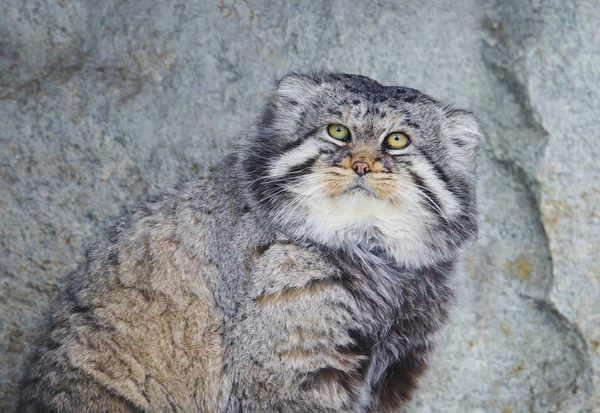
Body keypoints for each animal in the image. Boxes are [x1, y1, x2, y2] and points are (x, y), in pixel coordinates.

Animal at [16, 74, 480, 412]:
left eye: (397, 140)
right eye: (338, 131)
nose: (362, 164)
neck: (372, 251)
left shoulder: (397, 366)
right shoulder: (288, 370)